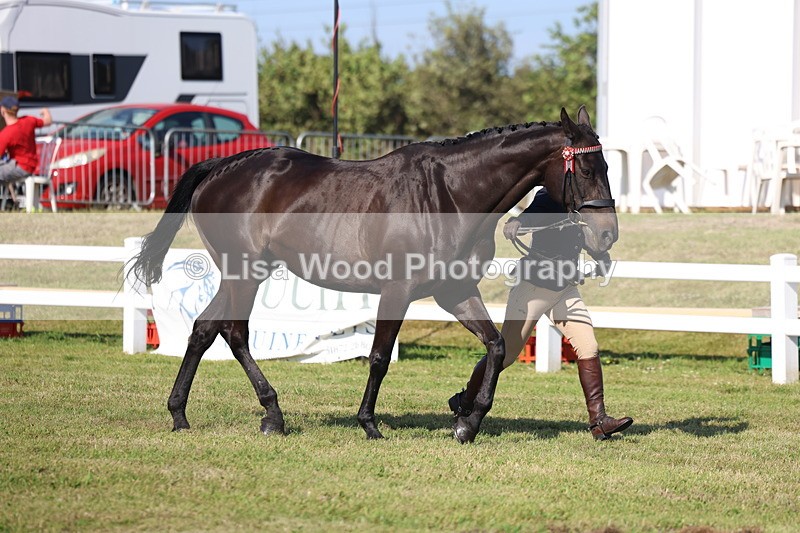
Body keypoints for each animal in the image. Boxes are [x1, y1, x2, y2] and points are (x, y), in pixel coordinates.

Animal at [130, 106, 617, 444]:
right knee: (234, 332)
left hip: (245, 272)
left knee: (203, 329)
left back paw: (179, 414)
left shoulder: (455, 290)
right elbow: (379, 357)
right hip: (244, 272)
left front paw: (468, 422)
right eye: (587, 169)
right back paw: (273, 415)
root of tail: (222, 166)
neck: (450, 194)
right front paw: (369, 424)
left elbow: (496, 346)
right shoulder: (397, 291)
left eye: (608, 167)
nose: (607, 234)